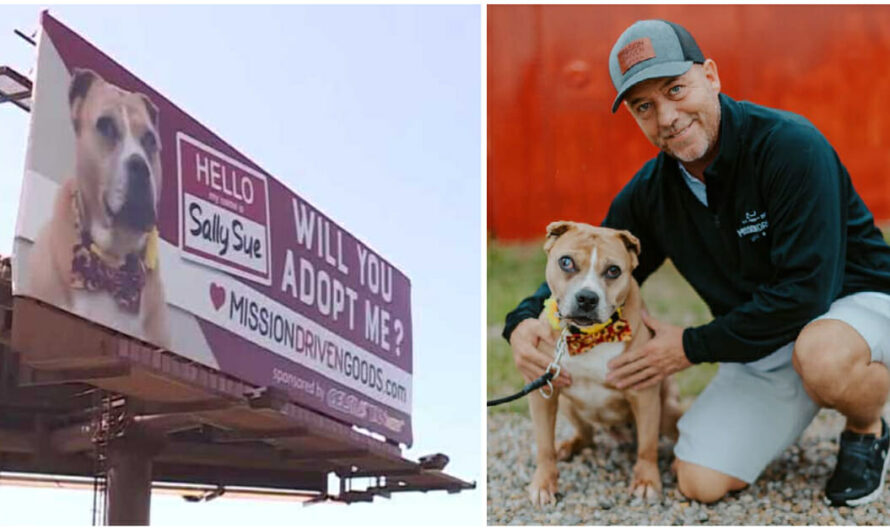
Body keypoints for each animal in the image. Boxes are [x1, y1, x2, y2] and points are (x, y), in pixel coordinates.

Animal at [524, 219, 676, 504]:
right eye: (566, 262)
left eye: (613, 270)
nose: (587, 297)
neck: (588, 337)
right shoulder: (543, 393)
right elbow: (543, 445)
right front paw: (544, 483)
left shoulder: (645, 393)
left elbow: (648, 445)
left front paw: (647, 481)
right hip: (569, 406)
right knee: (587, 436)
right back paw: (568, 446)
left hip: (667, 410)